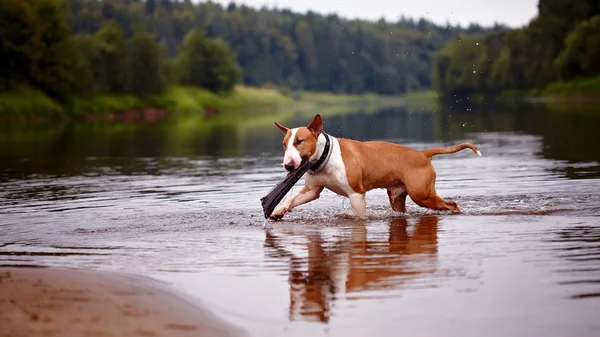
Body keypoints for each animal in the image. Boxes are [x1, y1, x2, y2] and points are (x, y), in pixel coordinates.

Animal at [272, 113, 482, 219]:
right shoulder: (311, 190)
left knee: (451, 204)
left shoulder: (356, 194)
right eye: (284, 144)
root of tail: (423, 154)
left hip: (422, 194)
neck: (325, 157)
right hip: (397, 196)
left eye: (300, 141)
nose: (288, 166)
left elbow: (360, 217)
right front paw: (277, 211)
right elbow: (291, 199)